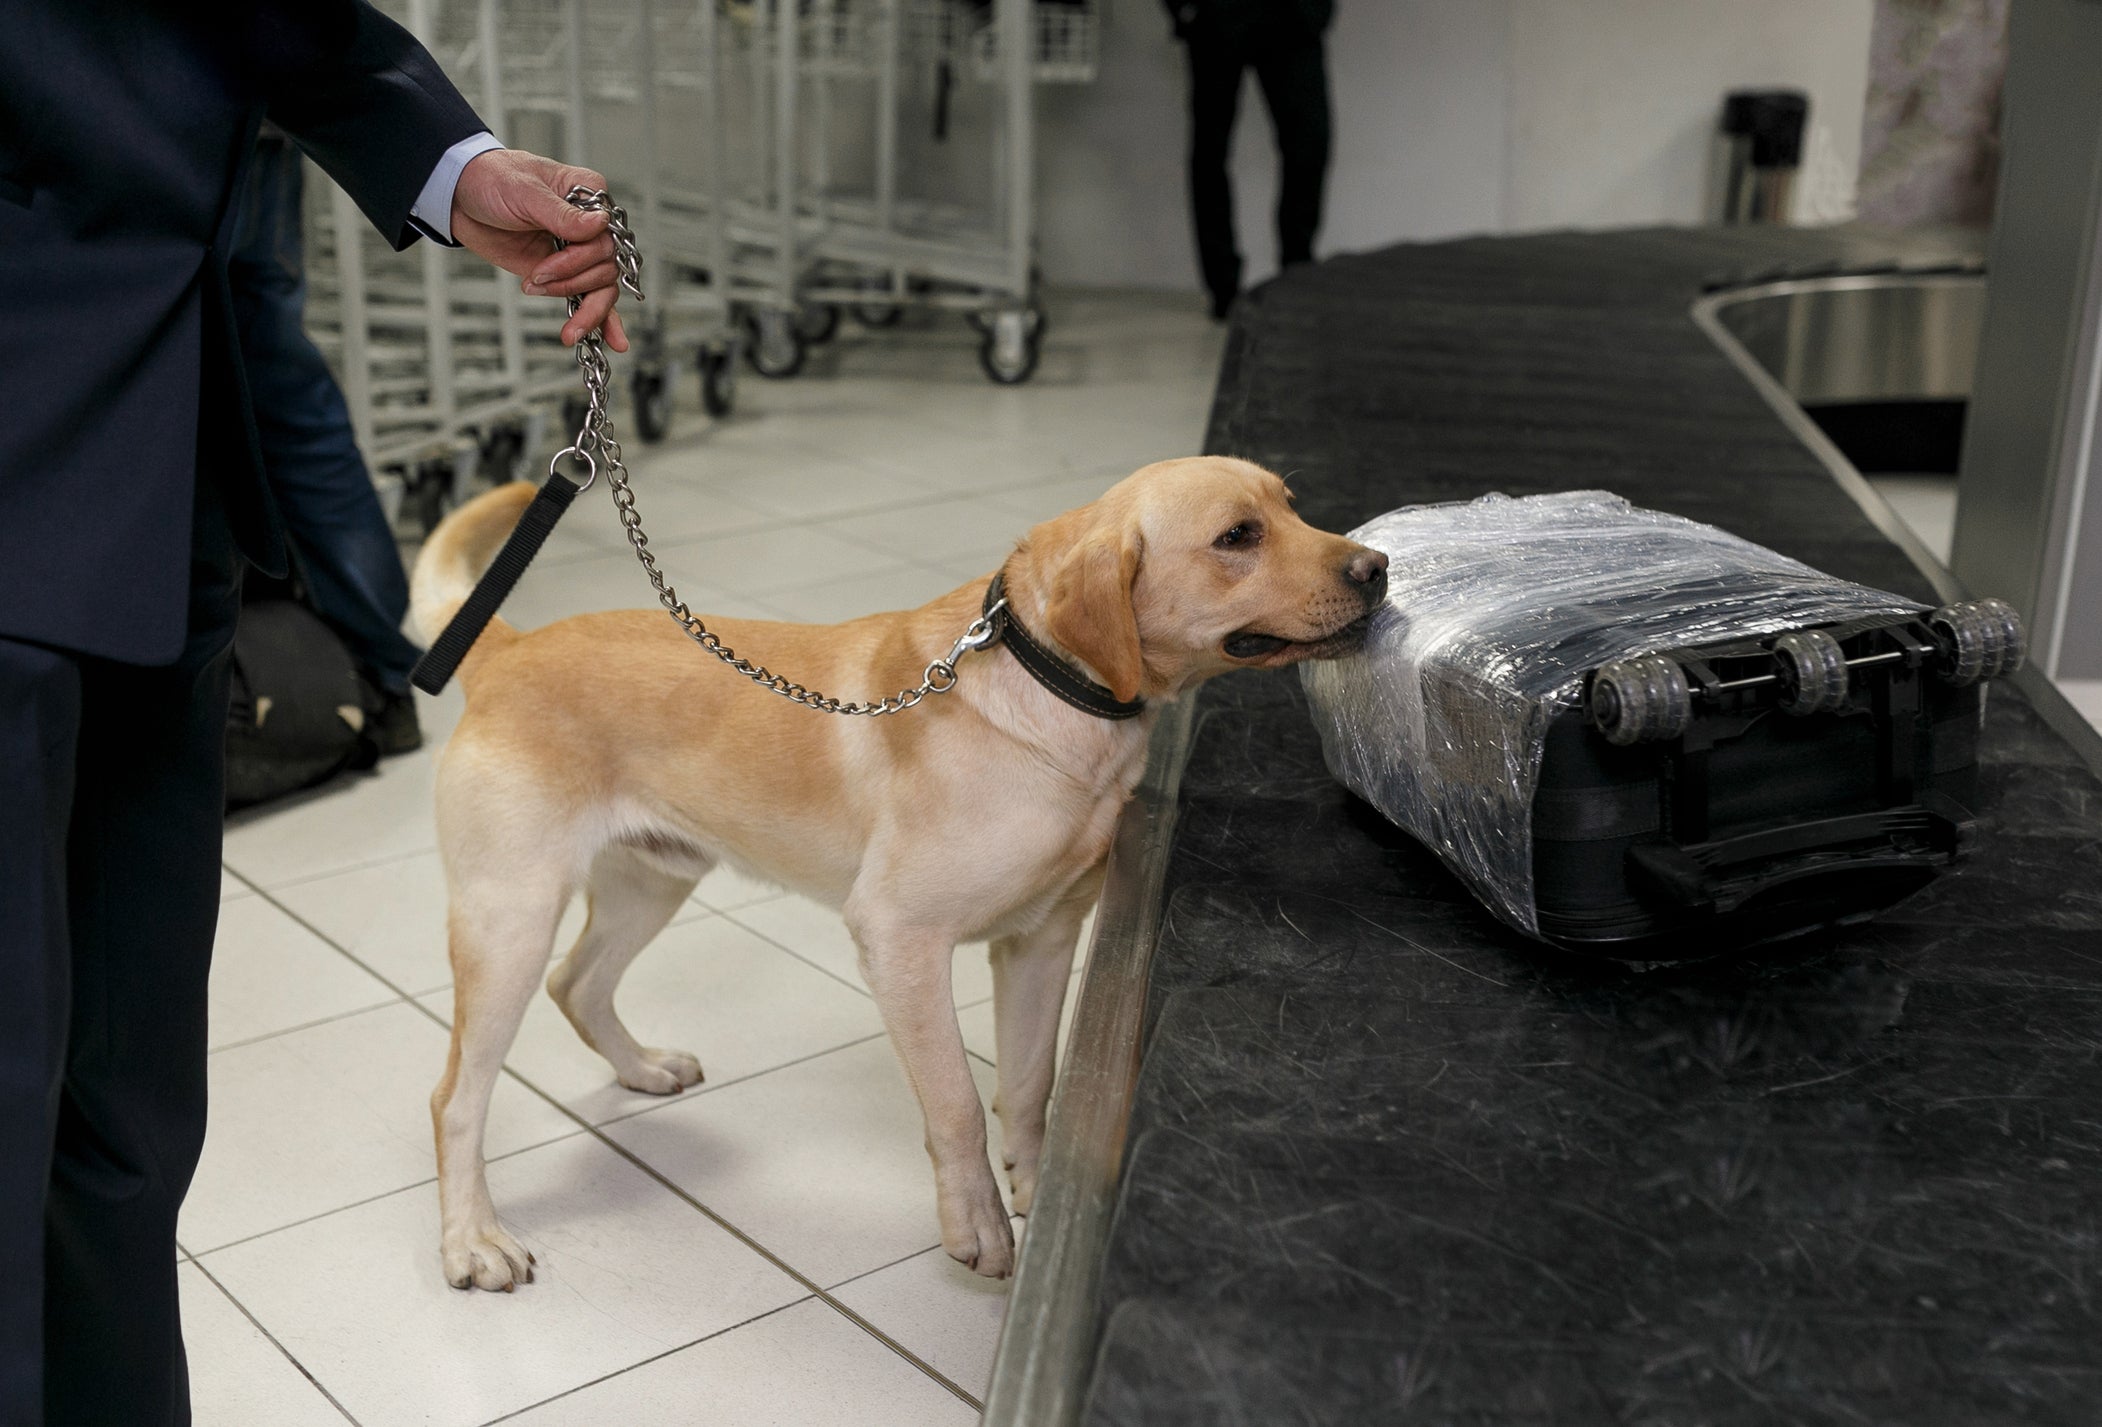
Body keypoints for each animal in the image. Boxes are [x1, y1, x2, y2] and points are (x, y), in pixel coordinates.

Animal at [411, 460, 1387, 1294]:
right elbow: (954, 1100)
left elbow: (1028, 1085)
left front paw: (1033, 1182)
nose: (1378, 566)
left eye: (1292, 506)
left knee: (577, 985)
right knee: (455, 1096)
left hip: (651, 882)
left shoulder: (1041, 941)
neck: (1048, 686)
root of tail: (508, 647)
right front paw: (977, 1222)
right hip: (509, 919)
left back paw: (640, 1067)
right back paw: (472, 1240)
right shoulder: (899, 939)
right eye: (1237, 536)